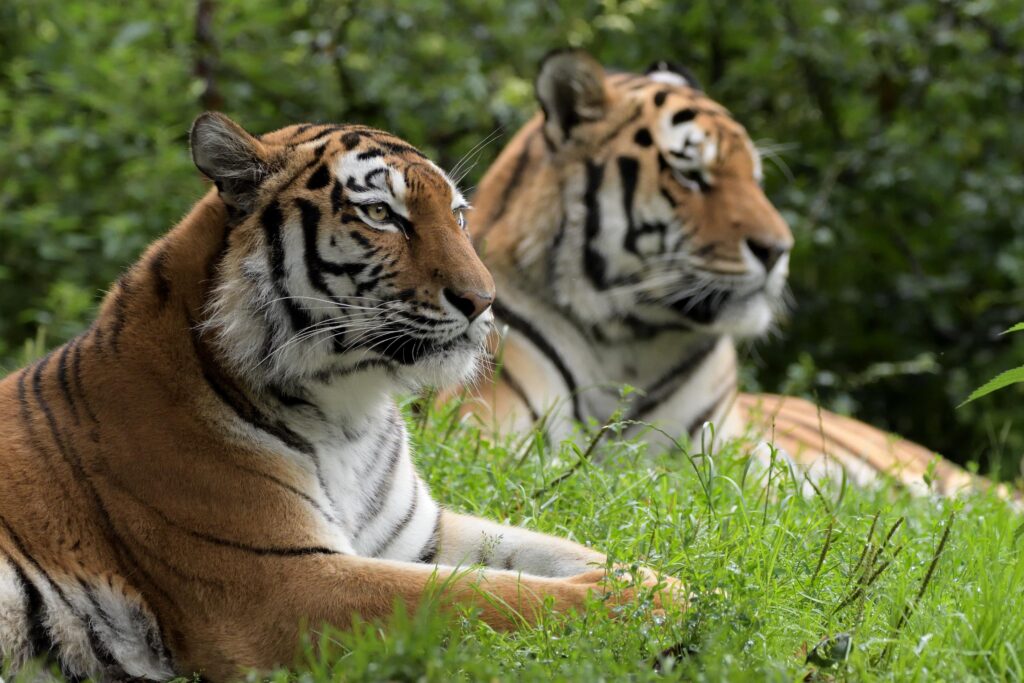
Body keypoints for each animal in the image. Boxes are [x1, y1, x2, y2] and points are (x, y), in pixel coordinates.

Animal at [0, 113, 679, 683]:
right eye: (380, 213)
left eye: (458, 216)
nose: (484, 301)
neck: (349, 409)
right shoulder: (280, 581)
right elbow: (483, 595)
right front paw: (643, 603)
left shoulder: (414, 534)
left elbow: (550, 551)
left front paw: (662, 580)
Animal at [464, 49, 983, 497]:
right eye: (690, 176)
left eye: (754, 177)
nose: (779, 250)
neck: (628, 342)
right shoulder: (488, 424)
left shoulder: (719, 446)